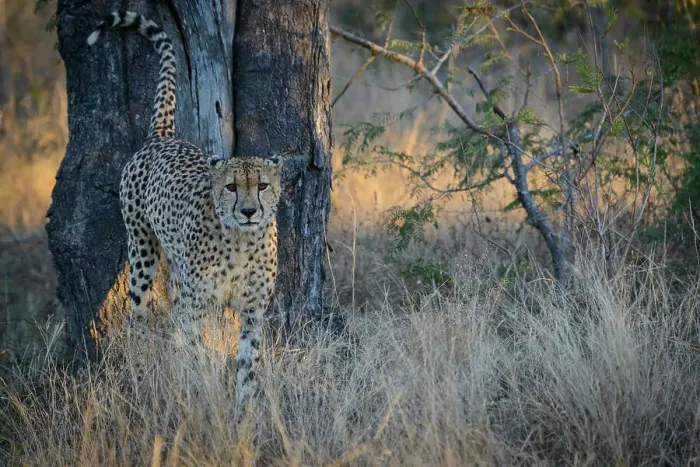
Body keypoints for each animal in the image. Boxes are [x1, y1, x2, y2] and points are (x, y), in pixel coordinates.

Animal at [87, 10, 284, 406]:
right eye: (231, 187)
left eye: (263, 186)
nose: (249, 212)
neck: (241, 242)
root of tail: (164, 136)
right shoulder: (198, 305)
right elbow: (196, 352)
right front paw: (203, 396)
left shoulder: (253, 310)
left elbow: (248, 364)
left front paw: (244, 412)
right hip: (142, 252)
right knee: (138, 316)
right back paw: (139, 372)